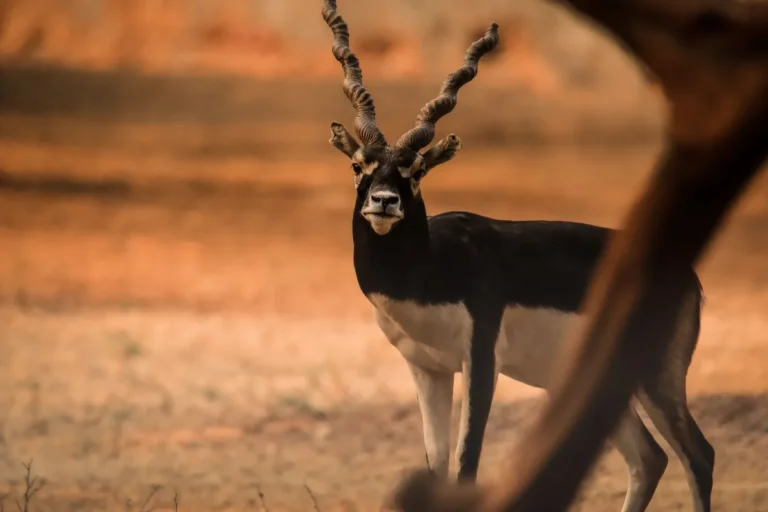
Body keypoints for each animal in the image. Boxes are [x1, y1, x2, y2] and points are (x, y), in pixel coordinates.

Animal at [321, 2, 716, 511]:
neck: (430, 268)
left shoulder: (480, 360)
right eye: (359, 166)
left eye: (416, 170)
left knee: (697, 455)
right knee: (649, 457)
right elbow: (436, 466)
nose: (384, 201)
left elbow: (466, 466)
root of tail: (689, 277)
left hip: (654, 377)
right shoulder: (427, 369)